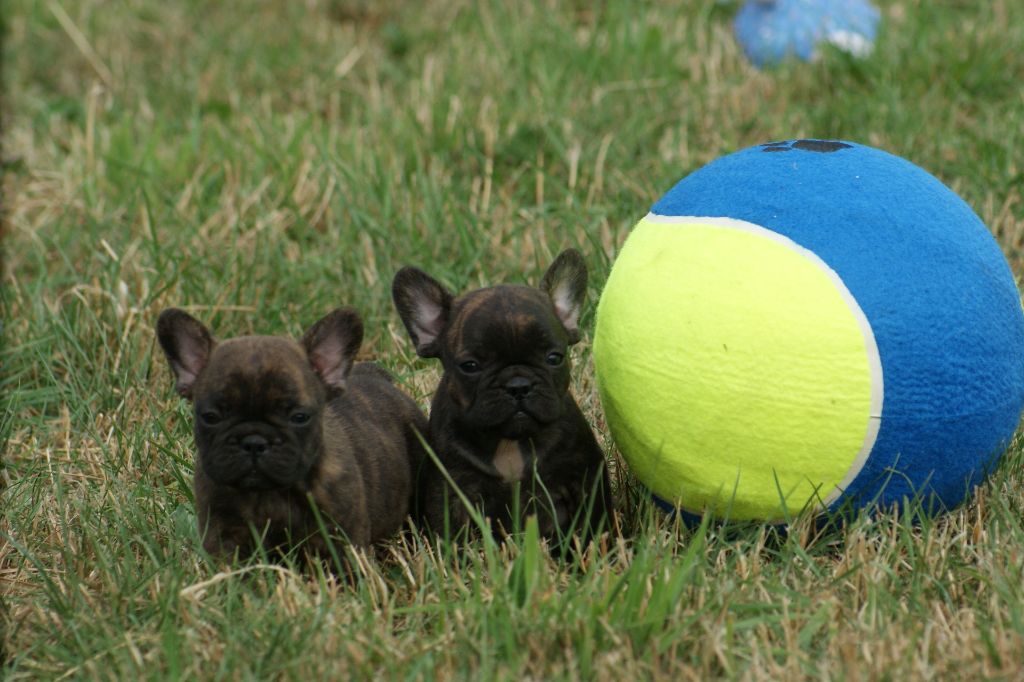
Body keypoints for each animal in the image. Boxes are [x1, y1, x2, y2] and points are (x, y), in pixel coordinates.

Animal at [154, 305, 423, 557]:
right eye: (211, 417)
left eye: (299, 417)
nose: (254, 441)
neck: (267, 495)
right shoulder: (222, 534)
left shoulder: (343, 536)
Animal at [391, 249, 610, 548]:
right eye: (470, 366)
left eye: (555, 358)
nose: (518, 386)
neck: (510, 441)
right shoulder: (451, 490)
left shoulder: (583, 477)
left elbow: (594, 524)